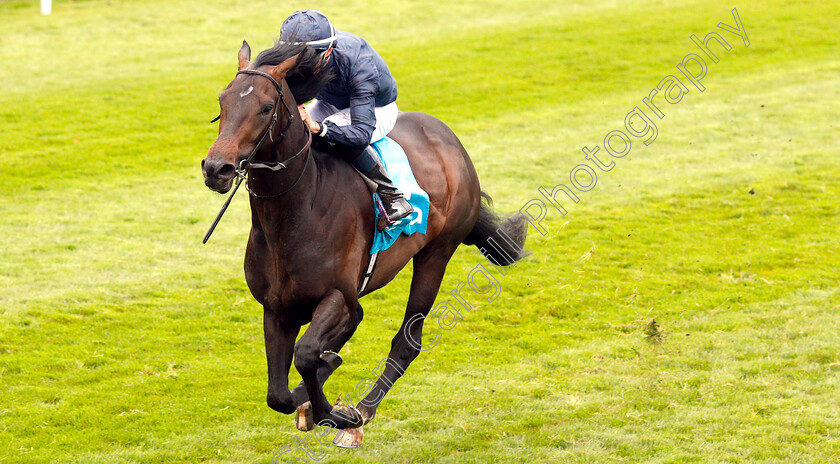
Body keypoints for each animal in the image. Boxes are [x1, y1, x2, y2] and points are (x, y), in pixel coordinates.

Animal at [201, 40, 524, 442]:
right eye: (222, 101)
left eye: (264, 107)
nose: (217, 168)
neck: (296, 212)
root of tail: (450, 141)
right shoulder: (277, 308)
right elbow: (278, 394)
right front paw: (311, 396)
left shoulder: (338, 295)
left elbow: (307, 353)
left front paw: (336, 414)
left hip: (436, 254)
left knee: (406, 342)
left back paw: (364, 409)